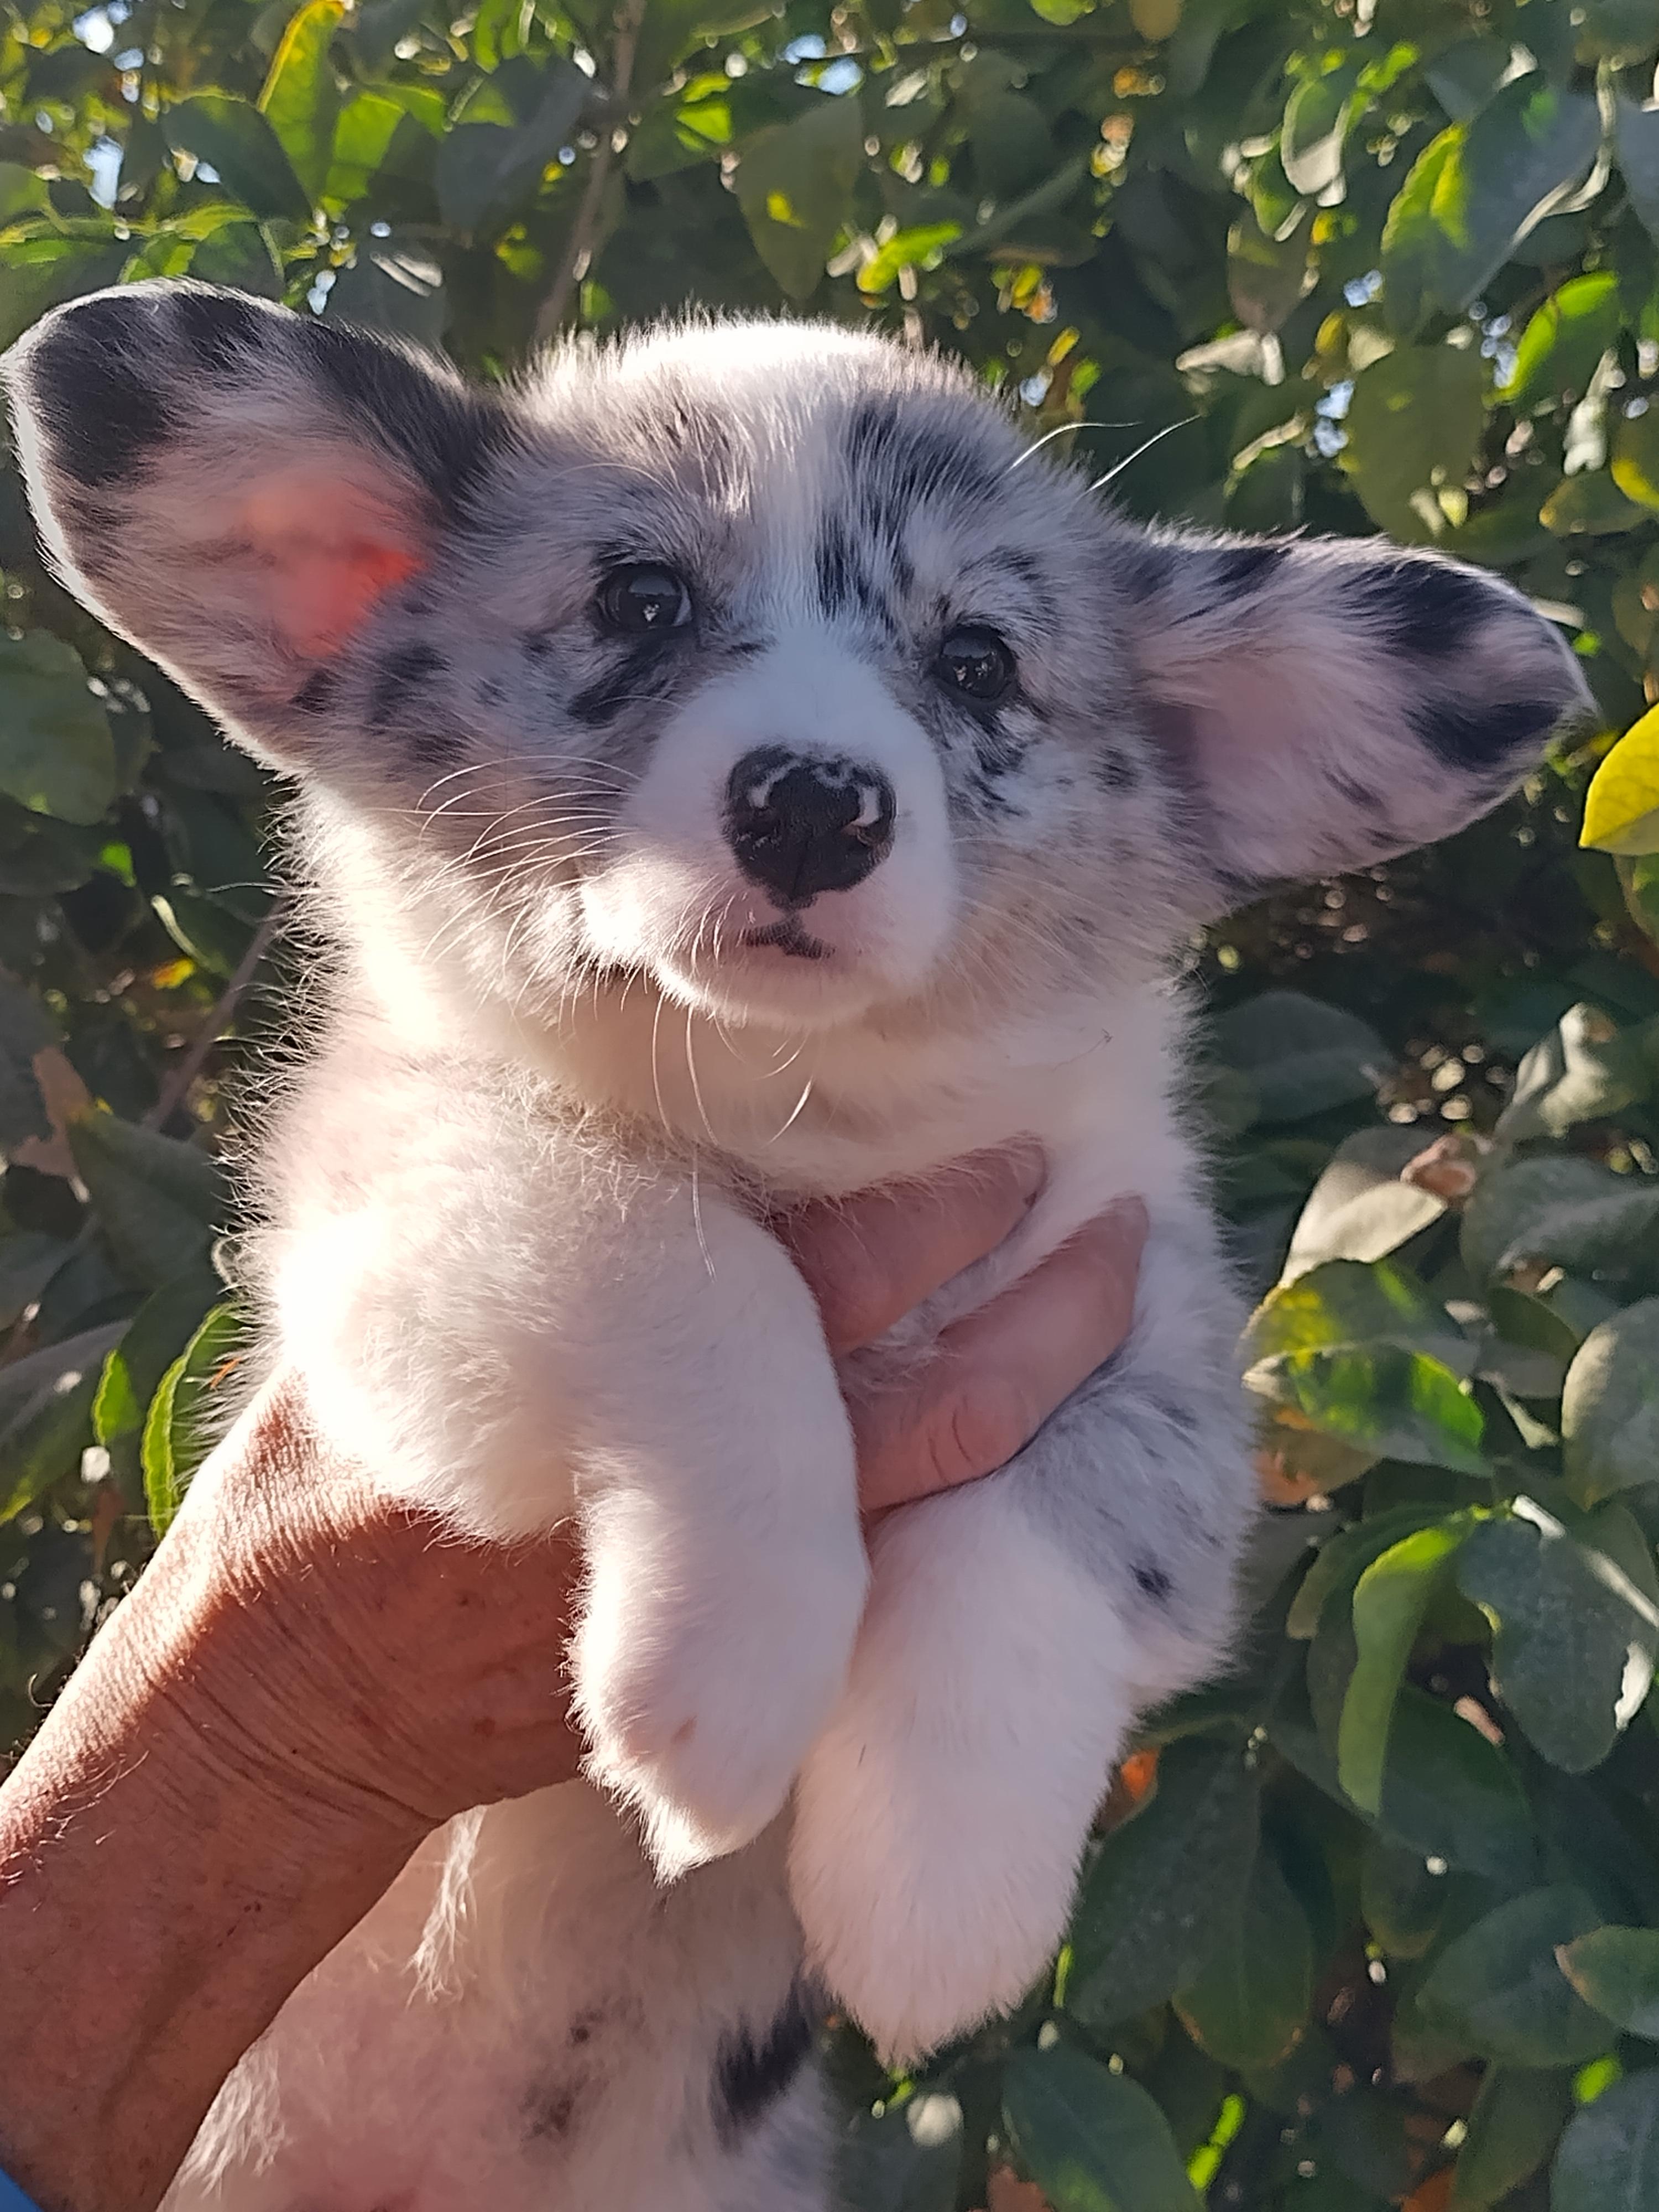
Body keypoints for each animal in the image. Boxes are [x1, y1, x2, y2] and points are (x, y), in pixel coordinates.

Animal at [4, 283, 1589, 2206]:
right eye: (640, 603)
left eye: (976, 663)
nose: (817, 803)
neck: (796, 1110)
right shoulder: (408, 1198)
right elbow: (691, 1265)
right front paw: (727, 1665)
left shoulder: (1152, 1324)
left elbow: (1044, 1523)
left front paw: (938, 1885)